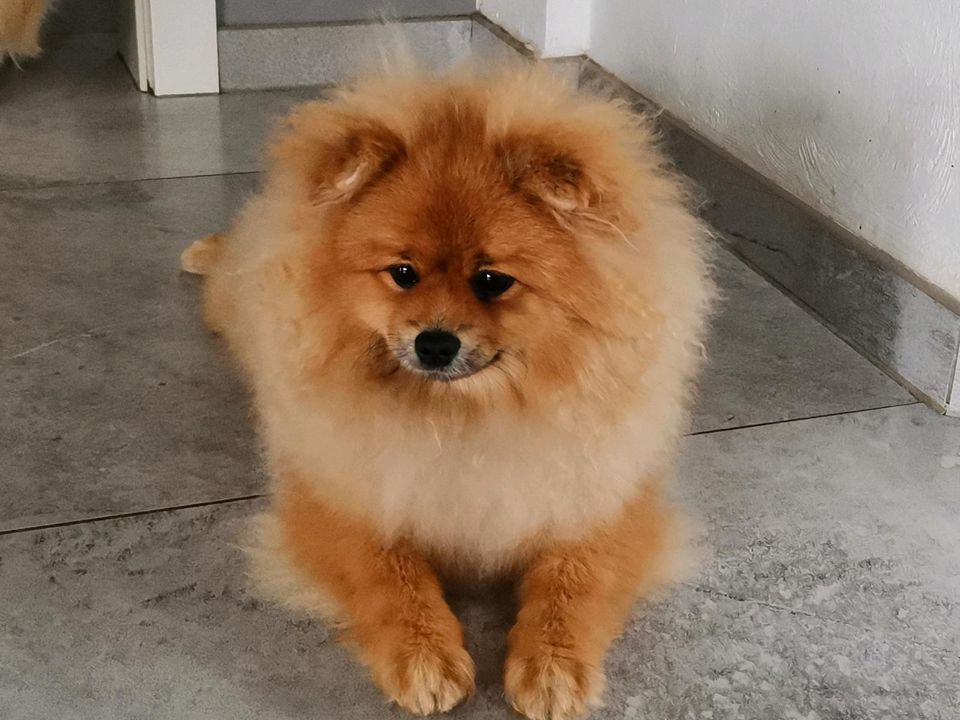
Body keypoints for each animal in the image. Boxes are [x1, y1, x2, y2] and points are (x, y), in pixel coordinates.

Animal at [184, 57, 712, 720]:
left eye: (492, 281)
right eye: (402, 274)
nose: (435, 342)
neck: (464, 419)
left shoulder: (600, 497)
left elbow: (574, 579)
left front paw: (553, 666)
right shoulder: (342, 497)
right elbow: (388, 573)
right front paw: (424, 655)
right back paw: (205, 251)